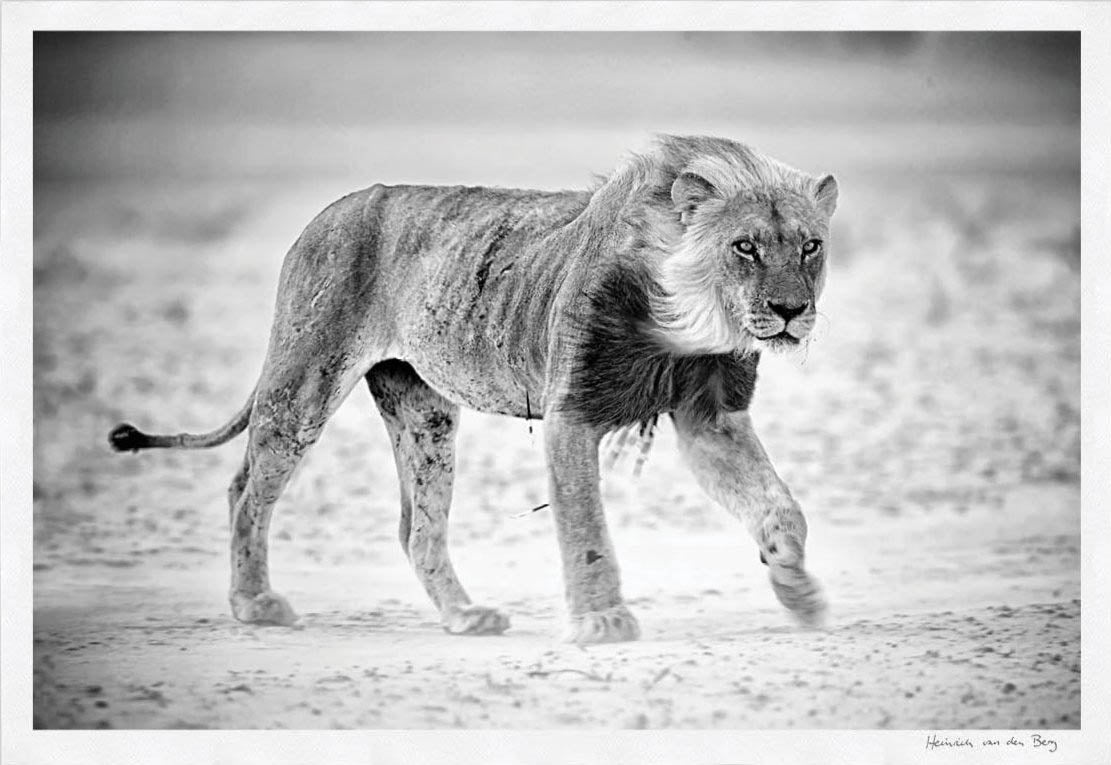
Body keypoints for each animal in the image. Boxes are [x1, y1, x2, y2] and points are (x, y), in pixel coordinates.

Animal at [108, 134, 837, 644]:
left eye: (809, 246)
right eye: (744, 246)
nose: (790, 310)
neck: (689, 321)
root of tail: (325, 214)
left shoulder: (711, 417)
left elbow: (782, 508)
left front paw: (797, 589)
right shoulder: (570, 414)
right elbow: (586, 527)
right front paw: (601, 621)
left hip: (423, 414)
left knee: (416, 529)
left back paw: (464, 616)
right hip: (302, 384)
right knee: (245, 490)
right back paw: (255, 604)